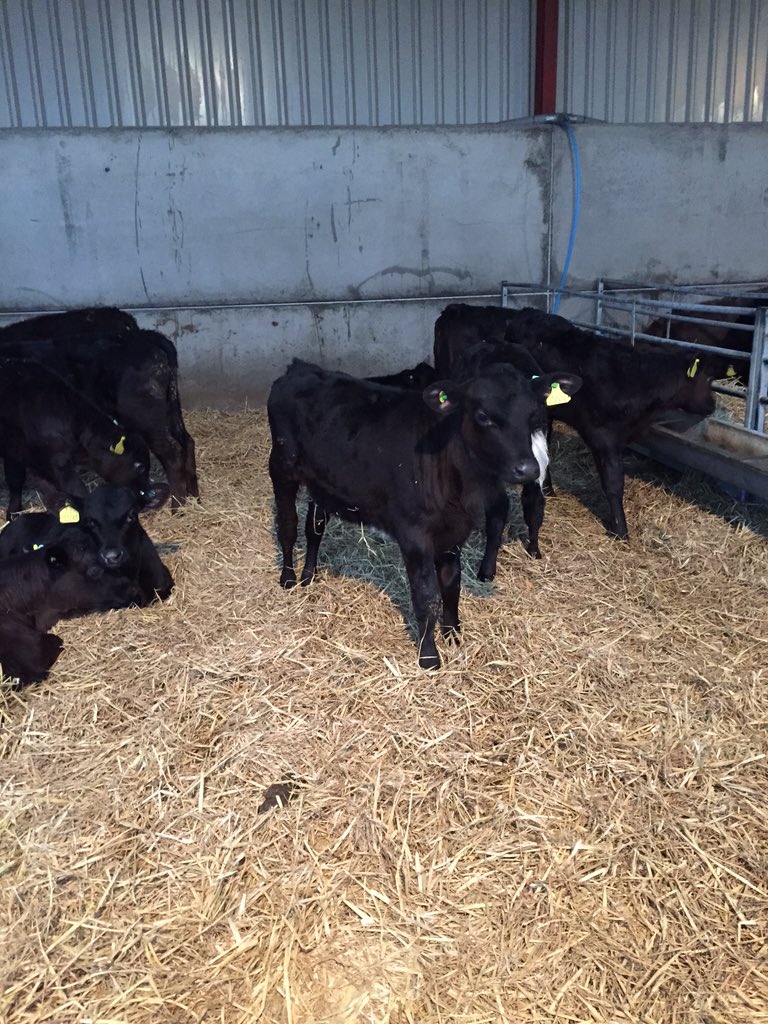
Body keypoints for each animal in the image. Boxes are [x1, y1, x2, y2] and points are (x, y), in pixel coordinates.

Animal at [268, 358, 580, 670]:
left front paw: (453, 633)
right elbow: (426, 594)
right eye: (483, 416)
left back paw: (309, 575)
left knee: (315, 525)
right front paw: (429, 655)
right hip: (282, 468)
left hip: (321, 481)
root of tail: (301, 367)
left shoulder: (454, 532)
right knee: (289, 526)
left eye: (532, 414)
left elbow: (452, 585)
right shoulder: (414, 535)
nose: (527, 469)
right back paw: (288, 578)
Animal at [434, 303, 716, 541]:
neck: (631, 379)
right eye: (707, 379)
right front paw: (620, 530)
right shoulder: (603, 438)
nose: (713, 405)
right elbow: (613, 484)